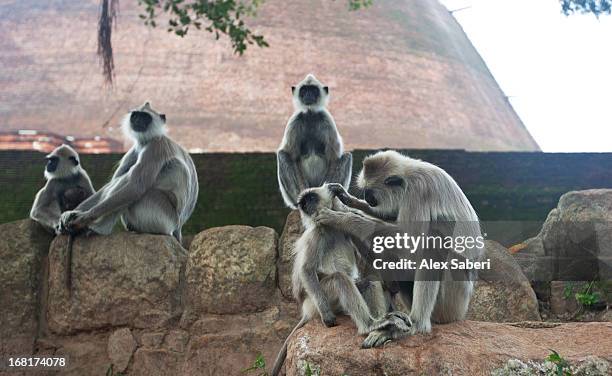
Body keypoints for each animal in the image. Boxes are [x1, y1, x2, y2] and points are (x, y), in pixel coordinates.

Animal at [59, 102, 198, 244]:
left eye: (145, 117)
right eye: (136, 115)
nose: (137, 121)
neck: (145, 142)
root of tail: (178, 228)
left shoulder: (156, 147)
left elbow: (136, 187)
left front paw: (83, 217)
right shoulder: (133, 151)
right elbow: (111, 183)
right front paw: (72, 213)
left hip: (161, 217)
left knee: (137, 187)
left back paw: (98, 229)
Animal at [278, 73, 354, 209]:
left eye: (313, 90)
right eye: (304, 90)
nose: (309, 95)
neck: (310, 114)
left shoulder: (326, 119)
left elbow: (333, 158)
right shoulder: (295, 121)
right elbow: (292, 157)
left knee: (347, 156)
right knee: (282, 154)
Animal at [316, 149, 482, 346]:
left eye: (370, 192)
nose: (366, 199)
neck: (410, 172)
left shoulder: (418, 191)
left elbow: (411, 242)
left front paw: (344, 219)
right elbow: (391, 217)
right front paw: (349, 201)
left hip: (455, 298)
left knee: (433, 238)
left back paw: (416, 324)